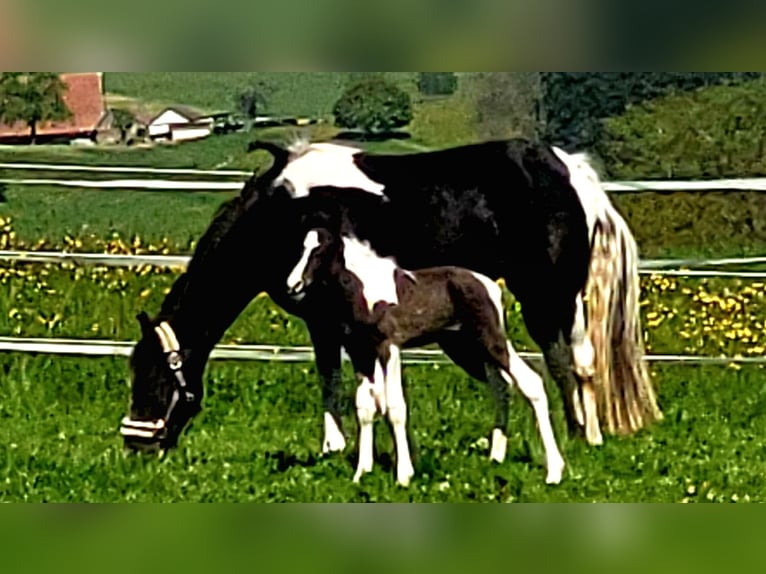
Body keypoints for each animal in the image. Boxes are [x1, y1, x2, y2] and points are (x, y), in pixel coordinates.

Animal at [284, 227, 568, 488]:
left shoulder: (389, 348)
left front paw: (403, 476)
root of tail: (491, 287)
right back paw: (496, 457)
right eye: (302, 248)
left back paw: (554, 472)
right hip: (468, 347)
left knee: (531, 383)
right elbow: (365, 408)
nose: (292, 285)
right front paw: (361, 473)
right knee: (501, 387)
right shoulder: (360, 353)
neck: (364, 289)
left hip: (491, 339)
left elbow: (395, 408)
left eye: (319, 251)